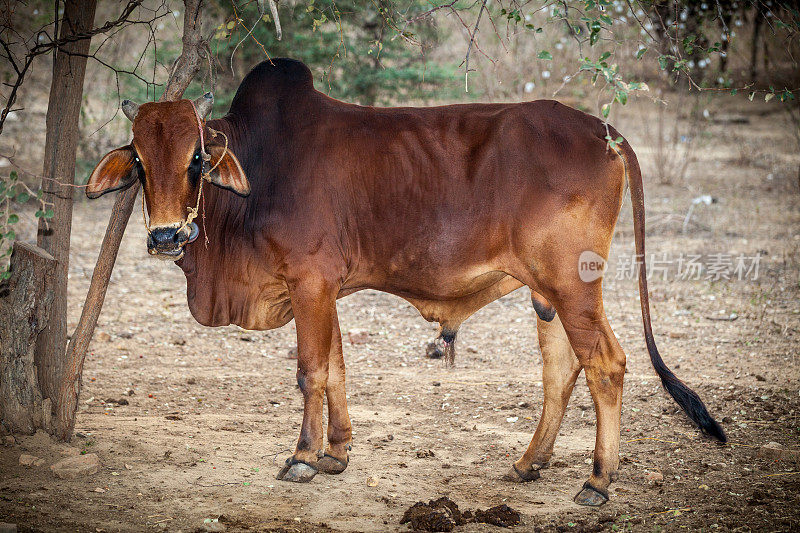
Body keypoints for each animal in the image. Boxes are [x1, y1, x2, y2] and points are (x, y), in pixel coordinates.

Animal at [87, 58, 724, 502]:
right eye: (139, 161)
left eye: (196, 158)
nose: (166, 236)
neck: (258, 174)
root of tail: (602, 130)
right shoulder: (326, 288)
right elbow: (337, 367)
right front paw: (336, 453)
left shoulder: (309, 282)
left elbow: (310, 371)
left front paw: (301, 456)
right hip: (547, 293)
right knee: (561, 369)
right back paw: (529, 463)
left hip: (574, 284)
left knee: (606, 365)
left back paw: (597, 482)